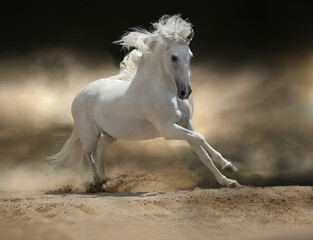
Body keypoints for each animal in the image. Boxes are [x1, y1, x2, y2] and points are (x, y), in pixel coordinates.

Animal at [50, 15, 239, 189]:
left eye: (190, 55)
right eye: (173, 57)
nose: (185, 92)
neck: (164, 91)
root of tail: (79, 94)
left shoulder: (186, 123)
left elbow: (202, 151)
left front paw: (228, 177)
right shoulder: (168, 130)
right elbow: (200, 138)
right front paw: (228, 168)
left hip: (112, 134)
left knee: (101, 149)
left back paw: (105, 180)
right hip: (90, 134)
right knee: (88, 152)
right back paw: (97, 182)